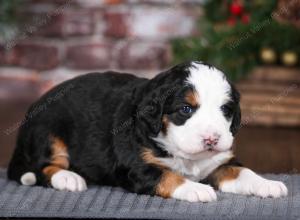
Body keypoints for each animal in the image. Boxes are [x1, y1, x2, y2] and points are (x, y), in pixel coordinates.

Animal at [7, 61, 288, 202]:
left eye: (225, 110)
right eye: (186, 109)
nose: (212, 139)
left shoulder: (219, 162)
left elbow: (243, 171)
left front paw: (267, 184)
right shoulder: (137, 167)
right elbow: (168, 176)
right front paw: (195, 189)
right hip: (48, 132)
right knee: (42, 166)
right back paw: (68, 178)